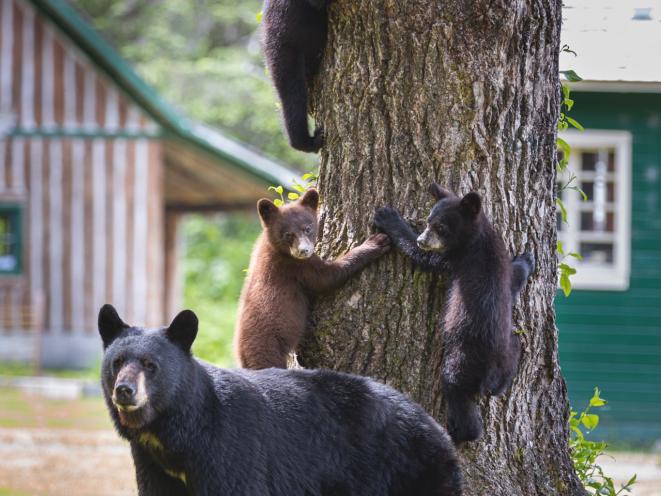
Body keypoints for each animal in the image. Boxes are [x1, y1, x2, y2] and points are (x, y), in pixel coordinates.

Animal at [98, 304, 464, 495]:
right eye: (117, 362)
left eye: (150, 365)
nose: (124, 391)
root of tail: (436, 427)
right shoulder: (153, 463)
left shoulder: (230, 451)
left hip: (407, 469)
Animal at [234, 188, 390, 369]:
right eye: (288, 234)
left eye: (307, 228)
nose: (304, 250)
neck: (274, 247)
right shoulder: (296, 267)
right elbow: (327, 277)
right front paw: (375, 243)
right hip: (268, 351)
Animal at [374, 184, 535, 444]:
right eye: (428, 221)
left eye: (440, 227)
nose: (422, 239)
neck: (478, 237)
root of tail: (491, 373)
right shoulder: (501, 262)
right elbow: (514, 280)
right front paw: (527, 258)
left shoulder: (455, 257)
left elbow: (422, 257)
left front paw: (388, 217)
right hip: (508, 352)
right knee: (513, 355)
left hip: (463, 361)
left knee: (455, 390)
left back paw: (459, 432)